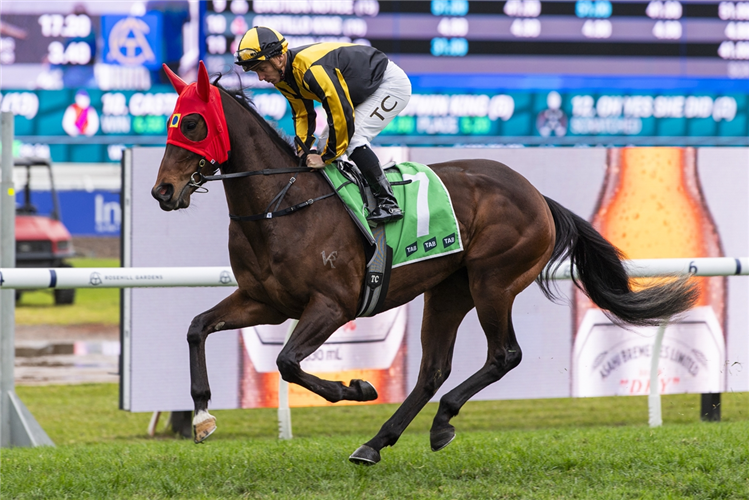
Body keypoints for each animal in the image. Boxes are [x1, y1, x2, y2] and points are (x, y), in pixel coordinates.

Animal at [151, 62, 698, 465]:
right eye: (170, 121)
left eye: (193, 123)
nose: (163, 191)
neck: (283, 205)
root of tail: (537, 195)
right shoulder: (263, 300)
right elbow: (197, 327)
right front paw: (201, 416)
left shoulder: (332, 305)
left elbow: (287, 362)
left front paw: (357, 386)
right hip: (448, 290)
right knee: (433, 369)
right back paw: (377, 443)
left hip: (493, 281)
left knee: (504, 355)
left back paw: (440, 420)